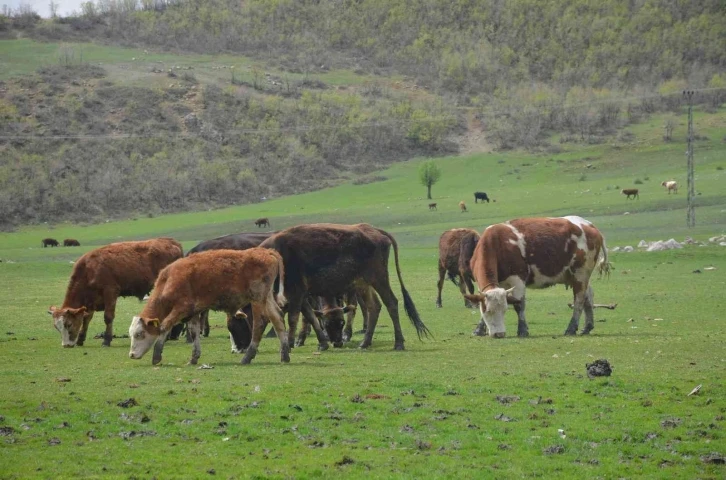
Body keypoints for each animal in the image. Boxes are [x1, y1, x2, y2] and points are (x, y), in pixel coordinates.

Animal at [48, 237, 183, 346]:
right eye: (56, 327)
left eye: (68, 324)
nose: (66, 345)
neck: (89, 269)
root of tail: (171, 242)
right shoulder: (91, 300)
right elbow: (87, 318)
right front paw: (81, 338)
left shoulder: (110, 292)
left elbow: (108, 317)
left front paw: (106, 340)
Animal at [129, 249, 288, 366]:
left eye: (139, 334)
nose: (131, 355)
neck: (169, 280)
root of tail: (267, 252)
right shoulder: (193, 312)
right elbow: (194, 332)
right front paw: (194, 358)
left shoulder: (181, 309)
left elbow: (164, 326)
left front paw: (156, 355)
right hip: (267, 298)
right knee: (278, 318)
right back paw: (285, 354)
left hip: (257, 299)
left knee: (260, 323)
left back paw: (248, 357)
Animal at [262, 223, 432, 350]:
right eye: (328, 324)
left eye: (341, 323)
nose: (338, 342)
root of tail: (375, 231)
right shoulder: (303, 294)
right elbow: (309, 315)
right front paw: (320, 343)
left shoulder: (297, 292)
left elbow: (294, 317)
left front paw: (291, 343)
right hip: (363, 284)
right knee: (374, 306)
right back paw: (365, 343)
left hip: (379, 279)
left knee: (391, 303)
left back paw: (398, 343)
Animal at [464, 217, 612, 338]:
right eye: (489, 311)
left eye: (505, 310)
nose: (499, 334)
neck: (497, 243)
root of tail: (589, 225)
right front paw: (478, 330)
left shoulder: (518, 280)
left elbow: (519, 305)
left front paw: (522, 330)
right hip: (579, 277)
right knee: (589, 296)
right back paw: (587, 327)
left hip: (580, 274)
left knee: (579, 301)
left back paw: (571, 328)